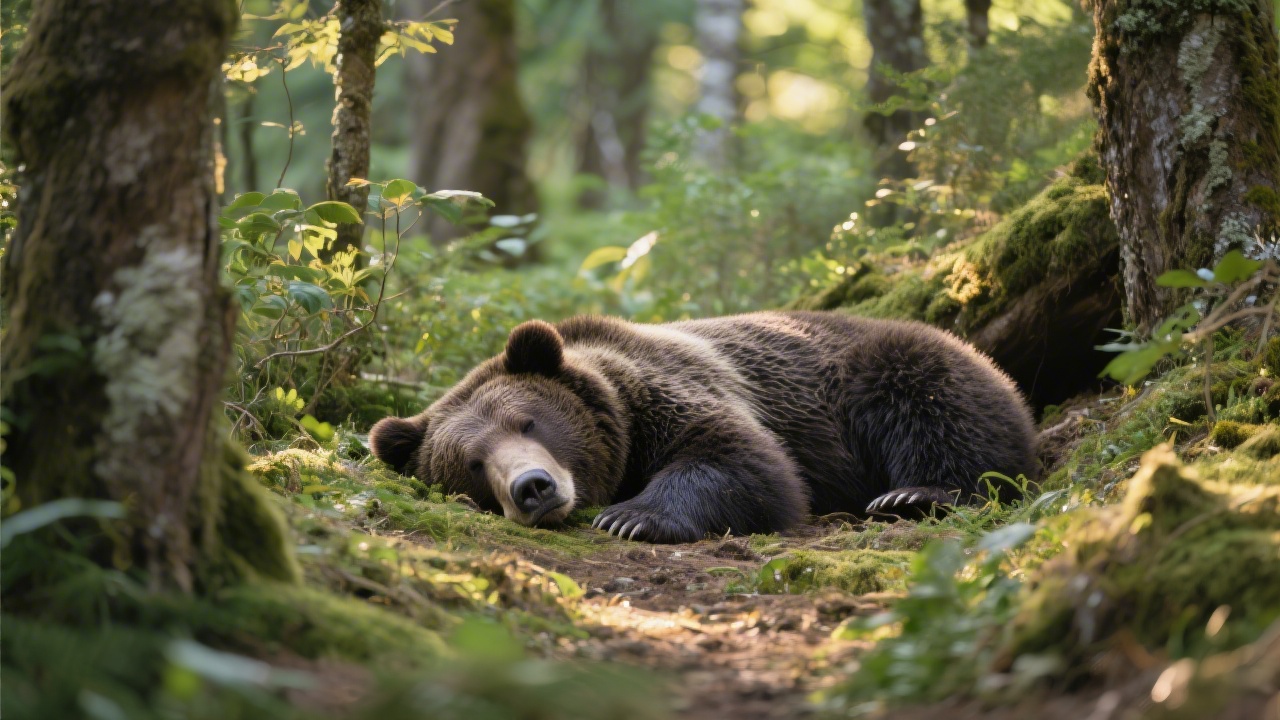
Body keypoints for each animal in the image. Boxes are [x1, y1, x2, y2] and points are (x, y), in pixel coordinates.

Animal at [369, 311, 1038, 543]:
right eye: (472, 463)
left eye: (529, 421)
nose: (533, 487)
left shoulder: (675, 392)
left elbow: (738, 459)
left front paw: (633, 517)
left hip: (872, 370)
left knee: (936, 405)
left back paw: (912, 494)